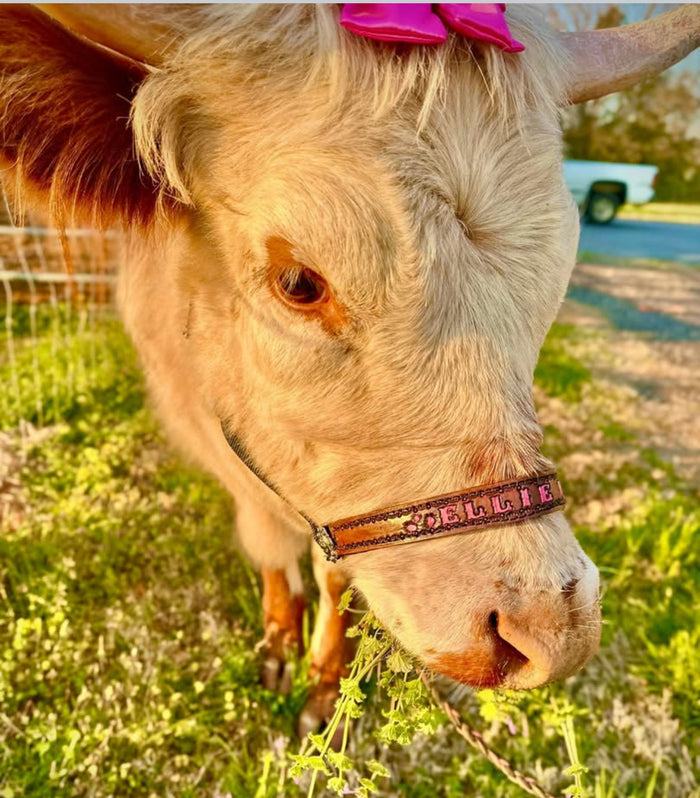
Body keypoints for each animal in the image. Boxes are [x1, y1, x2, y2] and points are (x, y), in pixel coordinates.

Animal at [1, 3, 698, 734]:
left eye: (557, 272)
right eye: (299, 282)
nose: (548, 628)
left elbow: (335, 574)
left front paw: (323, 682)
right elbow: (269, 544)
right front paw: (279, 639)